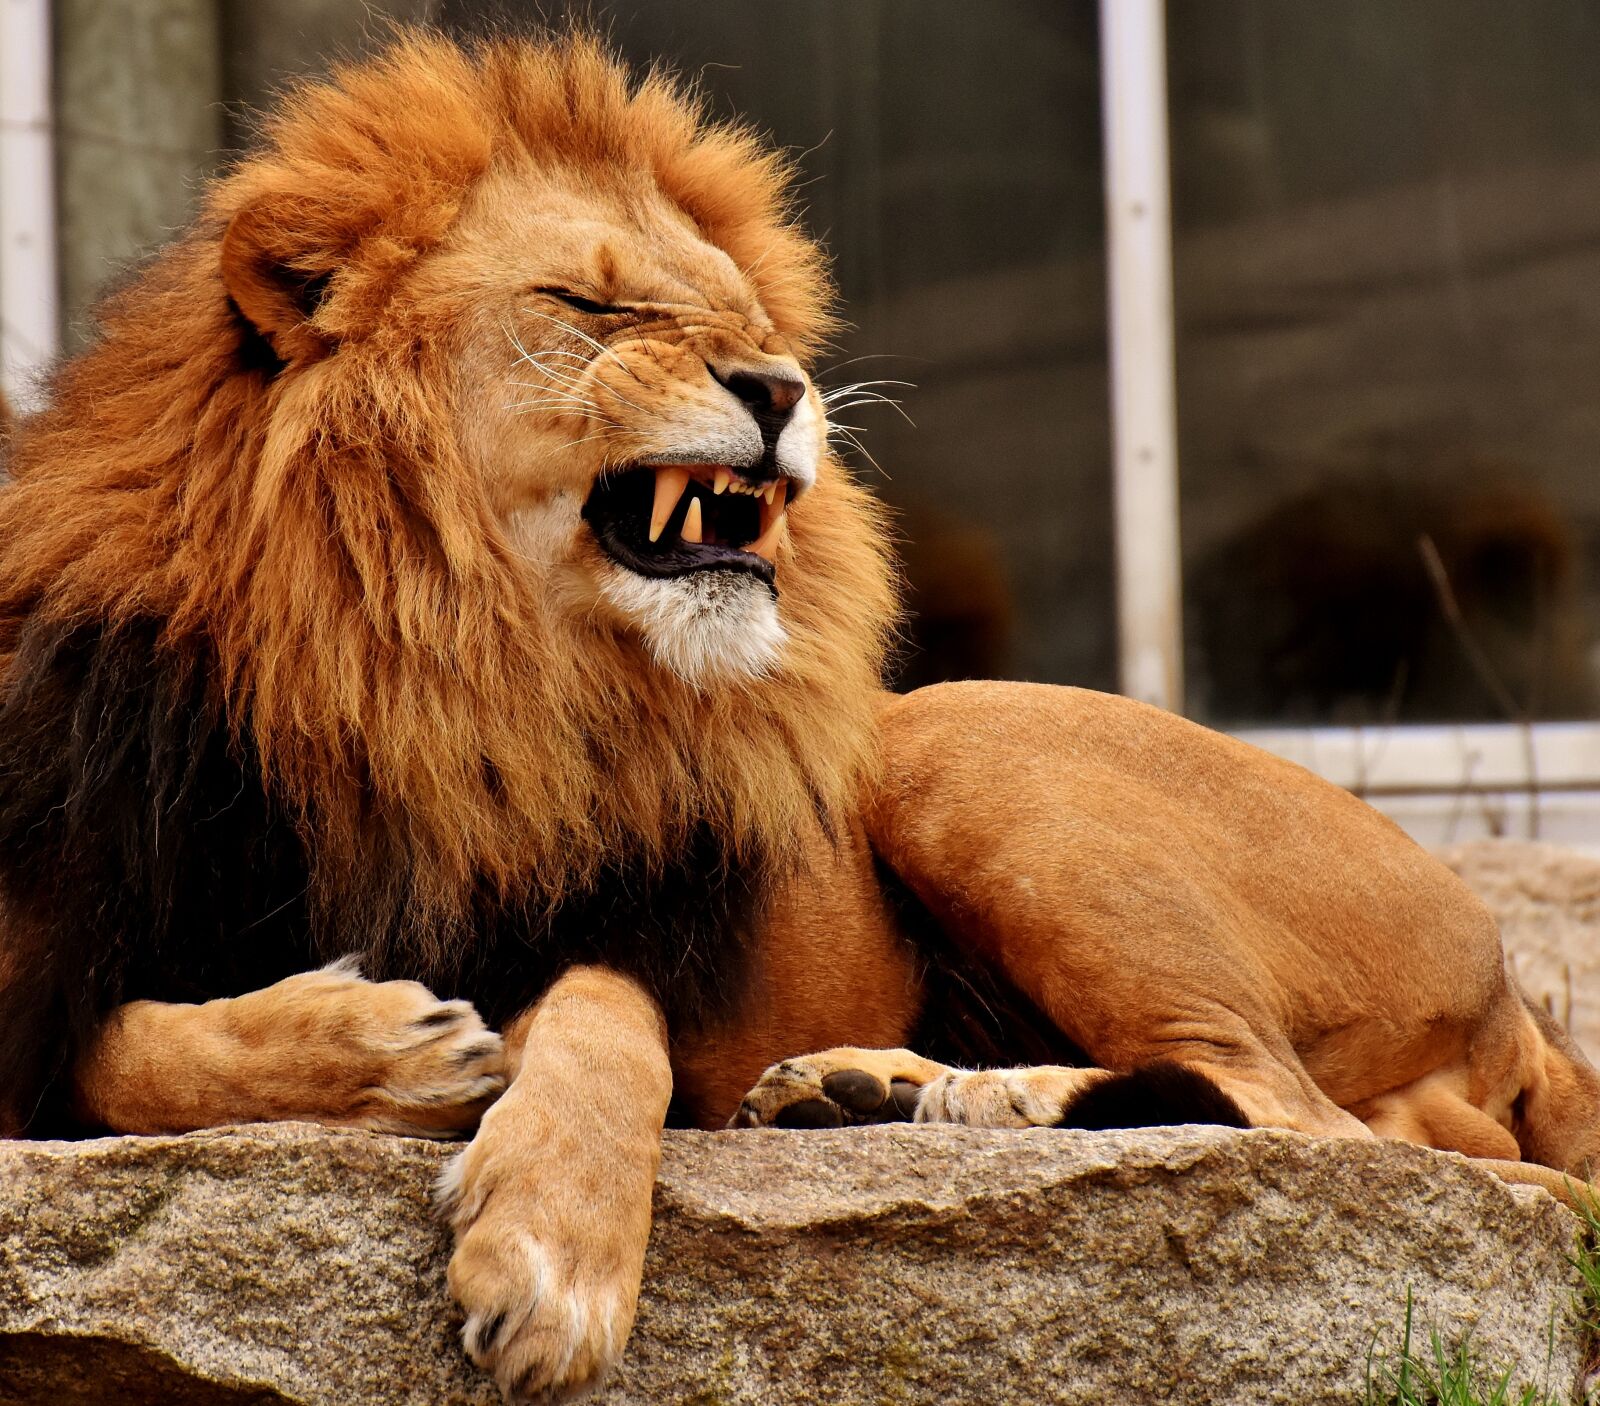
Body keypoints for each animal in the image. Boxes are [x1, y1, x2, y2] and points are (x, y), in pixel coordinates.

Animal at [2, 31, 1598, 1405]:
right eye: (590, 307)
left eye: (753, 323)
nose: (781, 388)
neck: (439, 673)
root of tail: (1515, 991)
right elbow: (122, 1049)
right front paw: (386, 1048)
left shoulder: (647, 917)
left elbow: (601, 1021)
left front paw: (549, 1248)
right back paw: (868, 1089)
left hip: (954, 743)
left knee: (1337, 1133)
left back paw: (964, 1105)